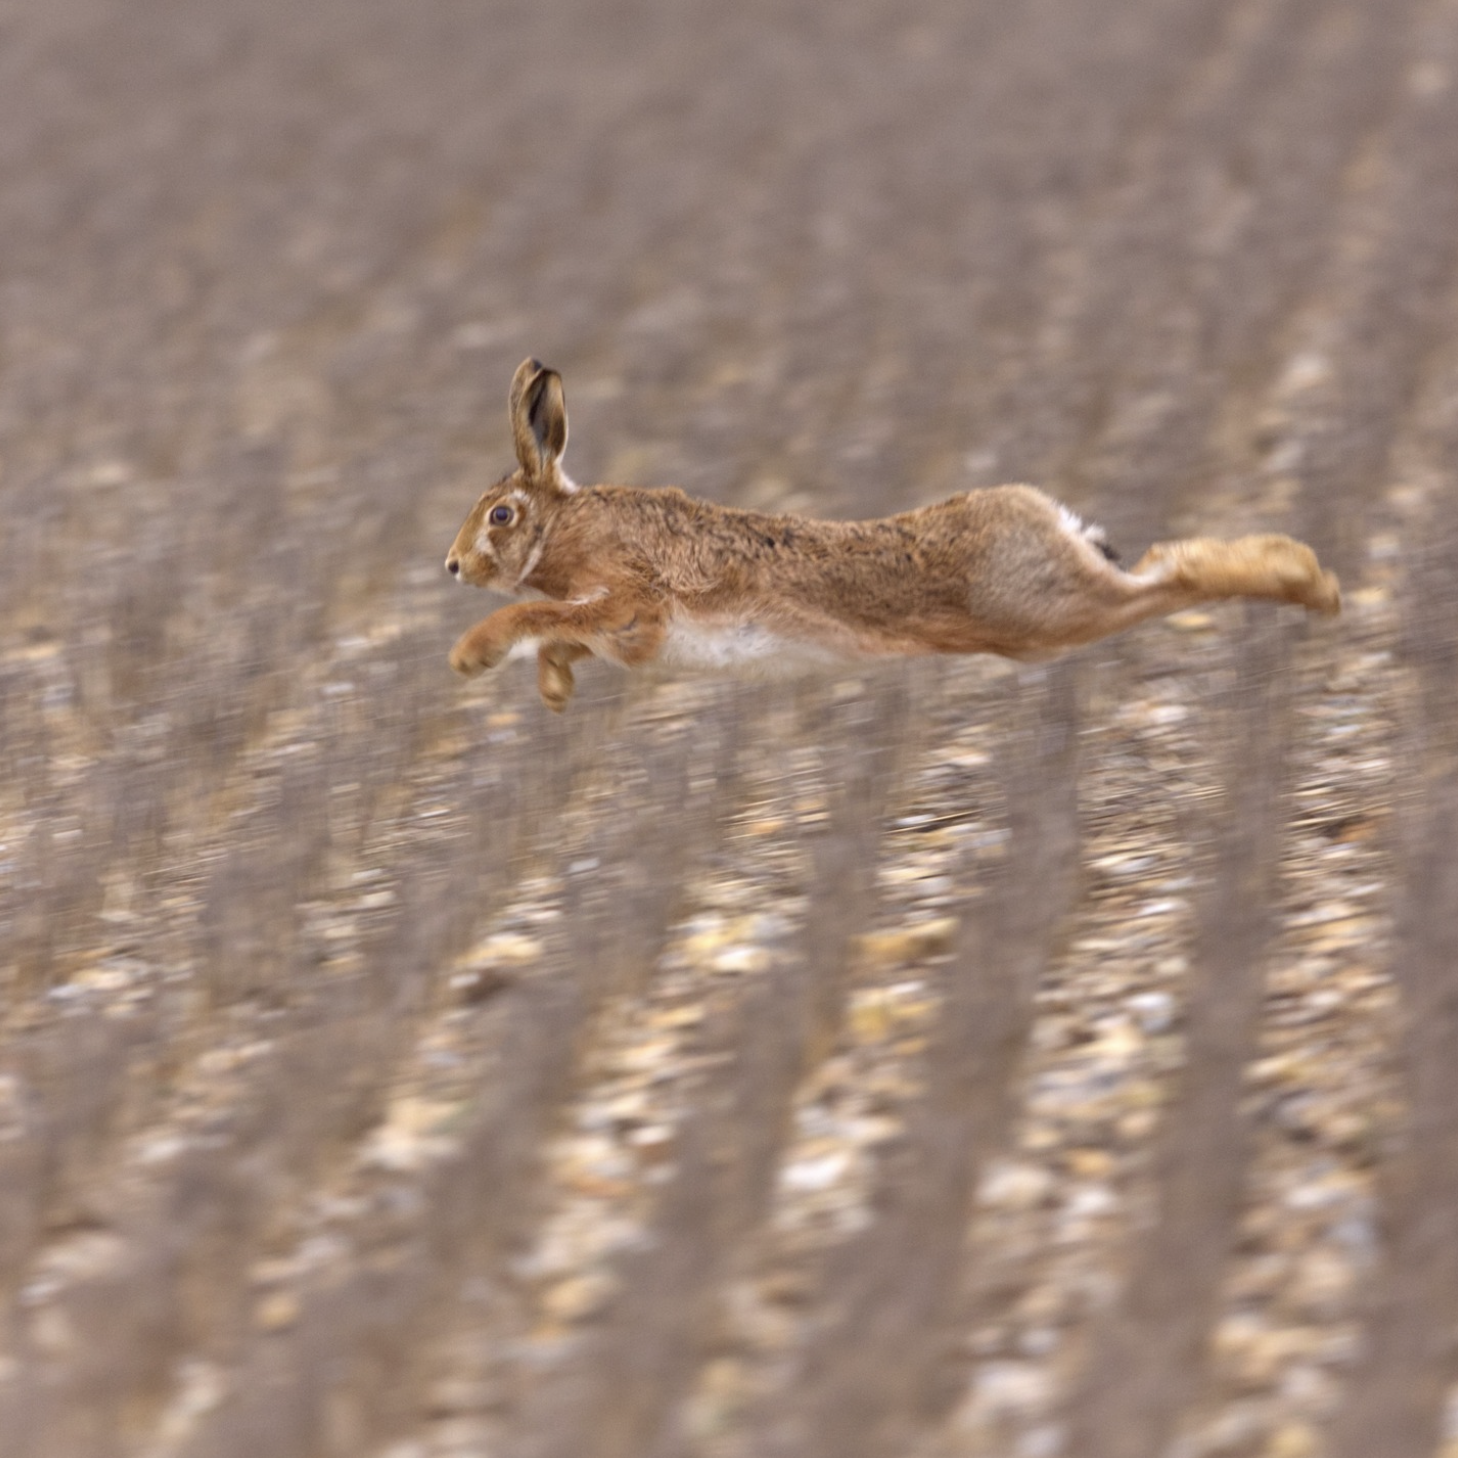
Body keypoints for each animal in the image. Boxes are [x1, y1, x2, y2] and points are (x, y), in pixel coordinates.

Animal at [446, 359, 1340, 712]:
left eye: (499, 514)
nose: (451, 566)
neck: (566, 525)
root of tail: (1047, 515)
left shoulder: (635, 598)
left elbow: (536, 616)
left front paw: (469, 656)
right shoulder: (620, 628)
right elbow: (560, 635)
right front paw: (554, 695)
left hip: (1043, 613)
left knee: (1171, 577)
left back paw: (1312, 583)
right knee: (1162, 563)